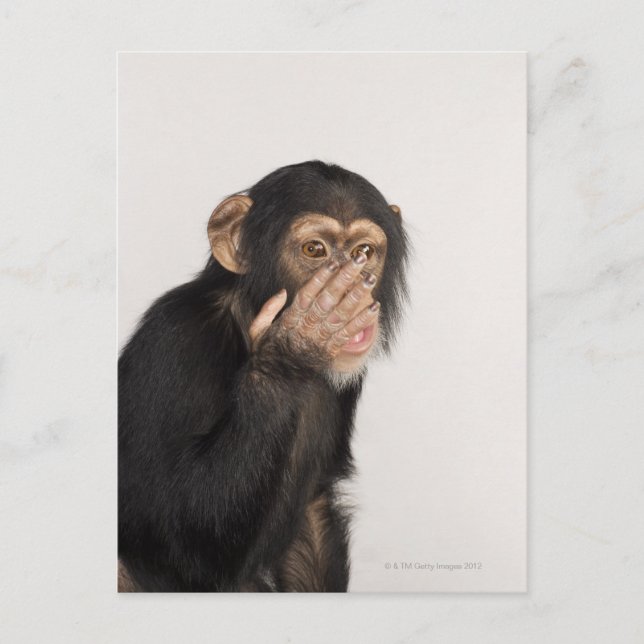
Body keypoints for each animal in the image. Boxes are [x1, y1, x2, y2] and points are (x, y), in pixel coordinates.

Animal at [118, 160, 409, 591]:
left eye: (363, 253)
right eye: (315, 250)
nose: (353, 290)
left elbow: (313, 510)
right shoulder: (175, 342)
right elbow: (184, 537)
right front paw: (290, 349)